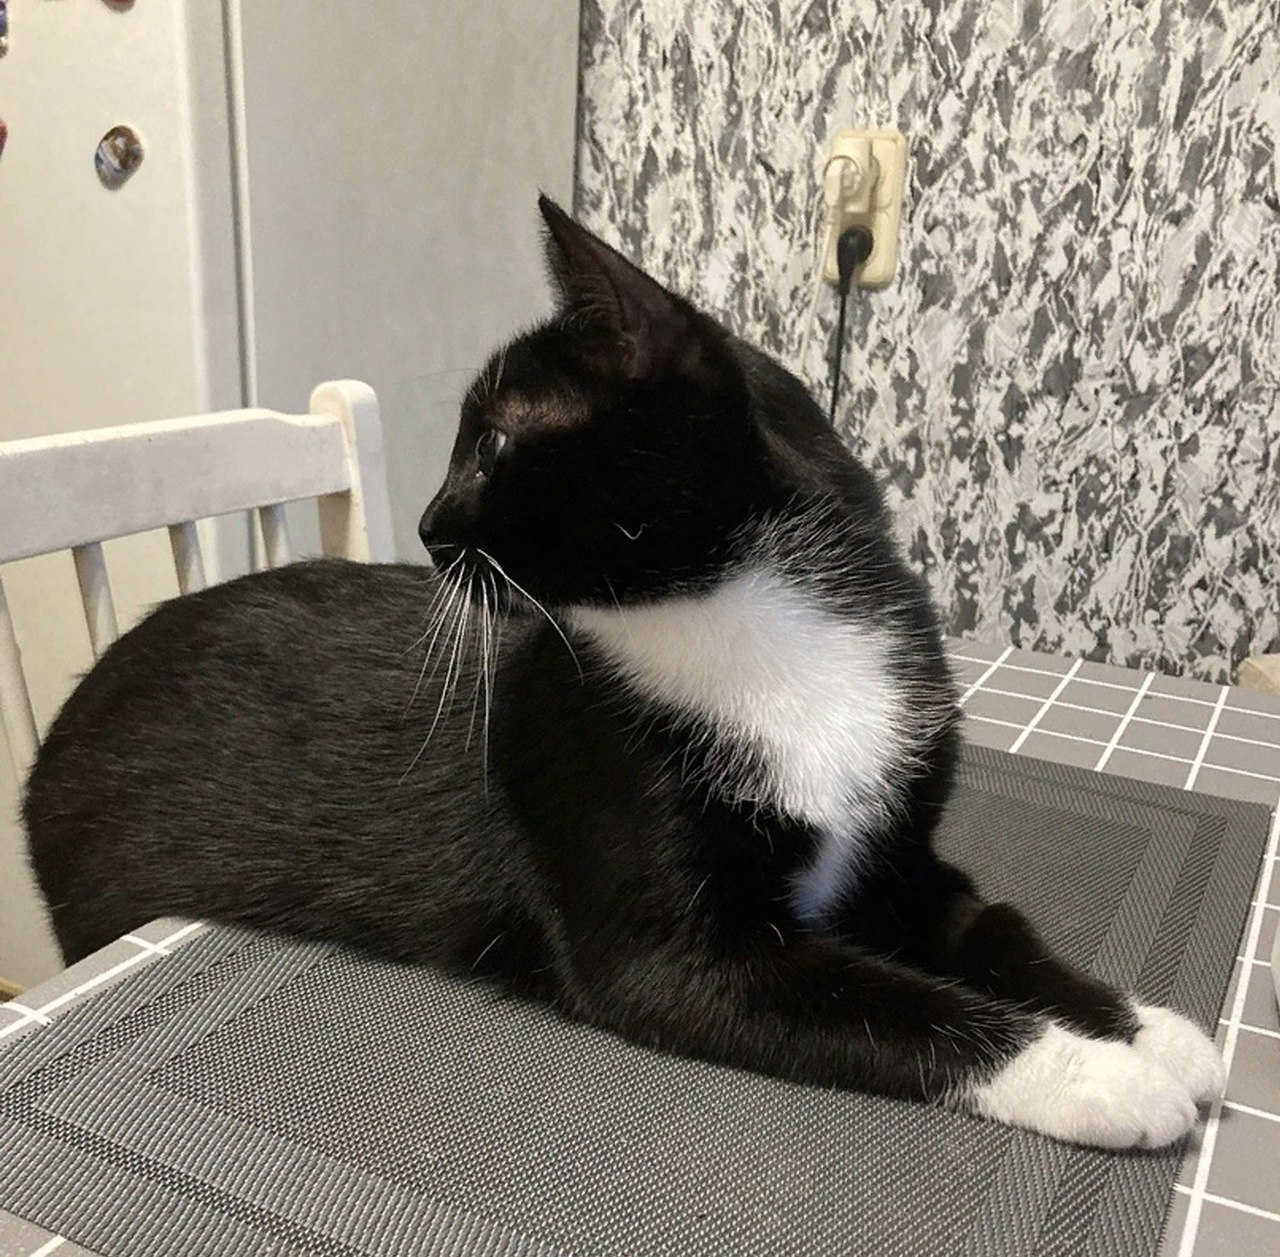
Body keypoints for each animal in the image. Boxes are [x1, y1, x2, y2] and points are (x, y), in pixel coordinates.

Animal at [25, 196, 1224, 1149]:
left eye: (491, 445)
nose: (426, 526)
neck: (747, 627)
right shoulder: (663, 933)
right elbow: (893, 1004)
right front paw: (1099, 1077)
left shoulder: (893, 846)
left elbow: (990, 924)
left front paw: (1147, 1029)